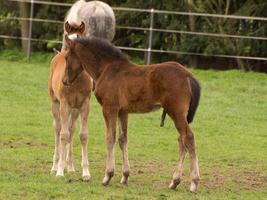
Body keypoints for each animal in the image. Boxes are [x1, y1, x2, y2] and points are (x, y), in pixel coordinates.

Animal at [48, 50, 93, 180]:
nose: (65, 80)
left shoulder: (84, 105)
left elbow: (83, 135)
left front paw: (86, 173)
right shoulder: (64, 104)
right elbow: (63, 135)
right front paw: (59, 171)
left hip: (74, 110)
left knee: (71, 129)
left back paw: (70, 167)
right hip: (55, 103)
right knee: (57, 129)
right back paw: (55, 167)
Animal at [62, 36, 201, 192]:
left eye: (67, 57)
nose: (64, 81)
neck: (106, 68)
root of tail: (188, 75)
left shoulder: (109, 109)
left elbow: (110, 138)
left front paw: (107, 176)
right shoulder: (123, 112)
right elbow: (123, 139)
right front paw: (125, 176)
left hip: (176, 113)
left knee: (188, 138)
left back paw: (194, 182)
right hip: (180, 115)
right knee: (182, 140)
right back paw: (174, 181)